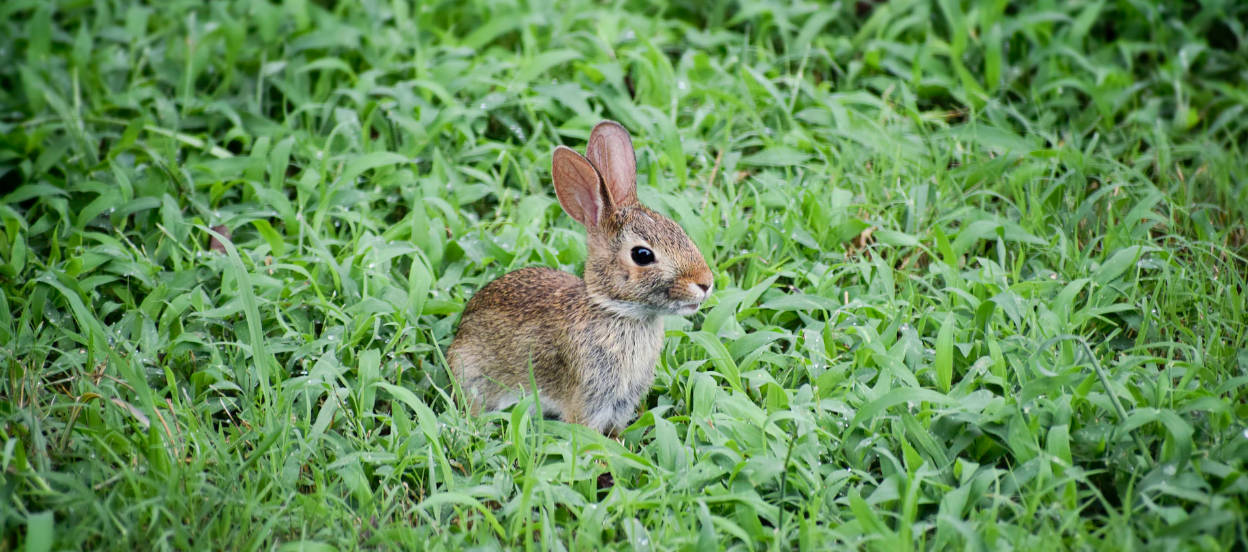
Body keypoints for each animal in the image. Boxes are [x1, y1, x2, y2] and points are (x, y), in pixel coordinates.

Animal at [451, 120, 718, 434]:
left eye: (677, 228)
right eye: (642, 255)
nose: (706, 283)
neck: (617, 311)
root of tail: (461, 332)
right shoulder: (588, 402)